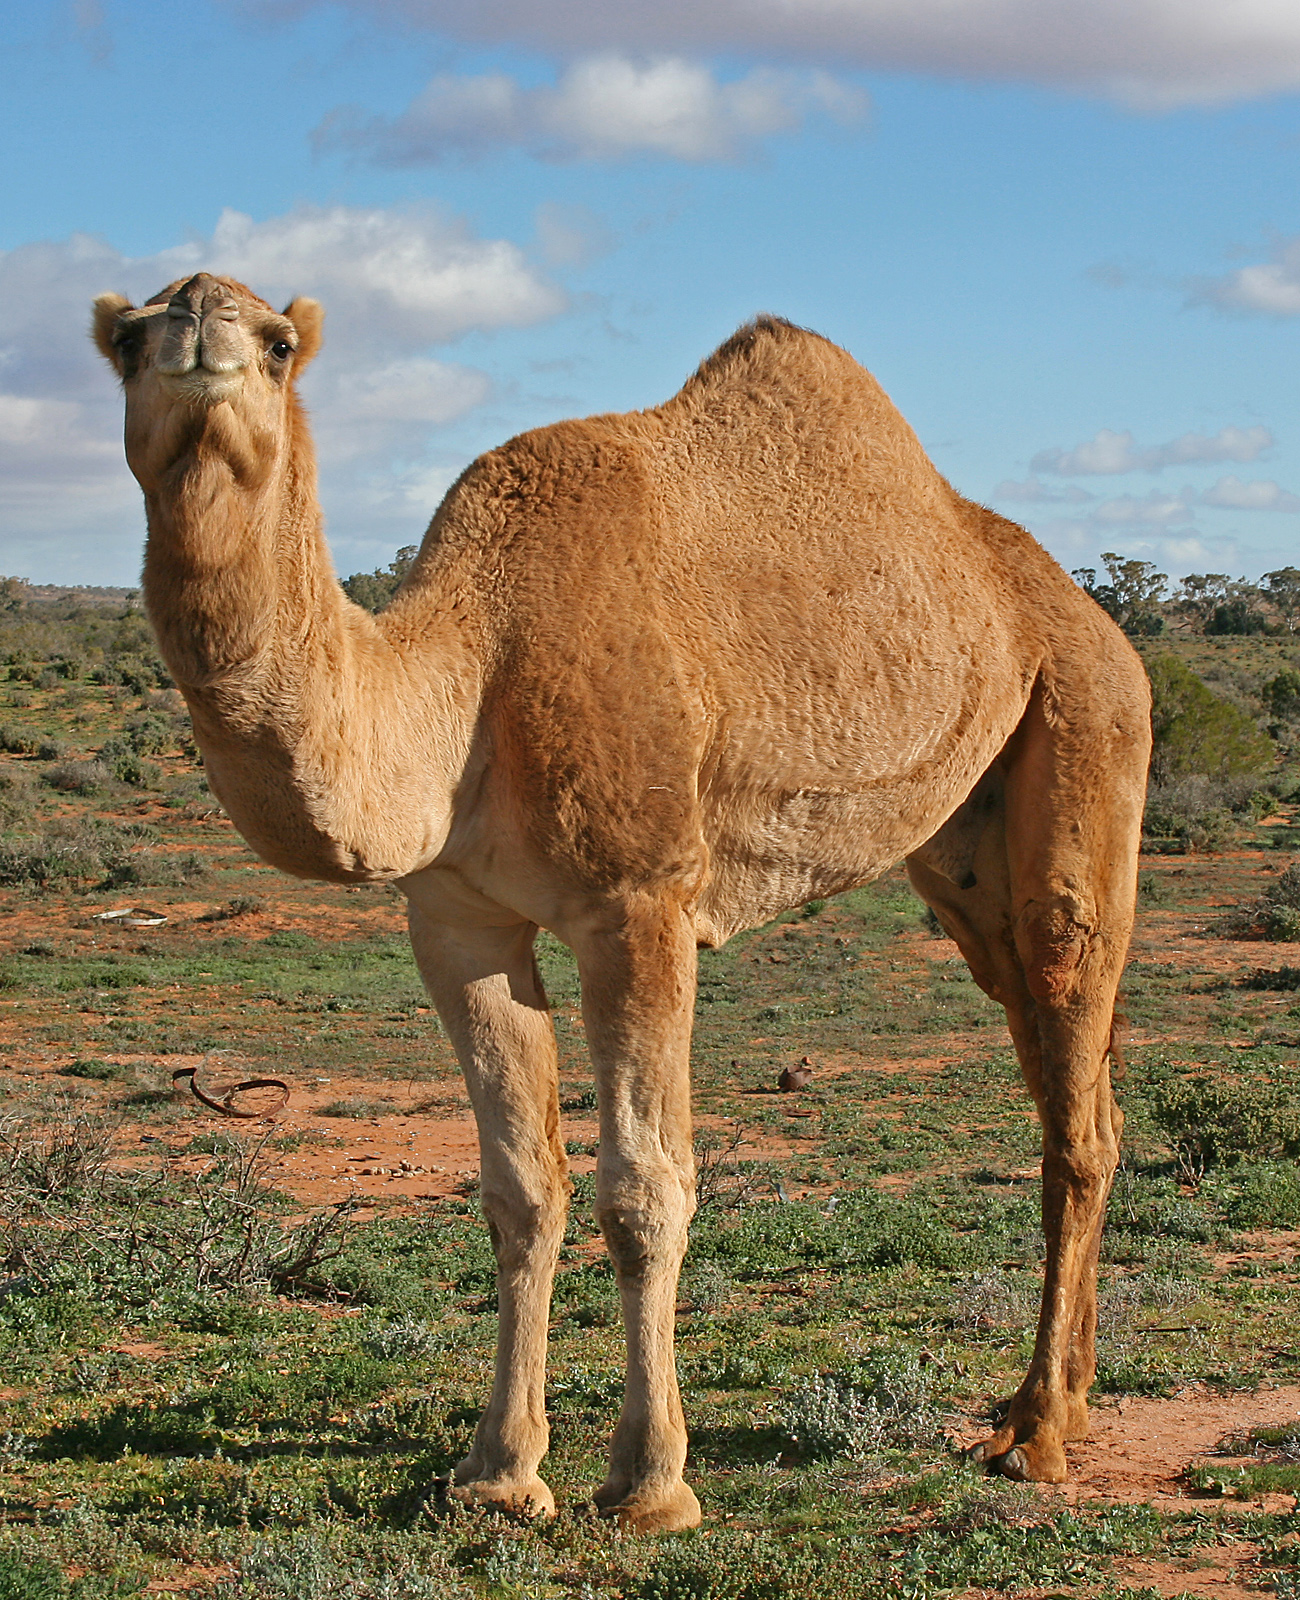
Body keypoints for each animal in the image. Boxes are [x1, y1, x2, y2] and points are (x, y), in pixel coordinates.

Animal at [91, 272, 1146, 1523]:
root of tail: (1090, 615)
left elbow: (644, 1189)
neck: (469, 674)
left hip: (1086, 725)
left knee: (1072, 1060)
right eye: (127, 339)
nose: (199, 326)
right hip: (965, 849)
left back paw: (1037, 1433)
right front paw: (498, 1474)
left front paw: (649, 1481)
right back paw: (1059, 1398)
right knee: (1058, 1066)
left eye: (279, 342)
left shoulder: (639, 901)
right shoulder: (457, 918)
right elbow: (520, 1187)